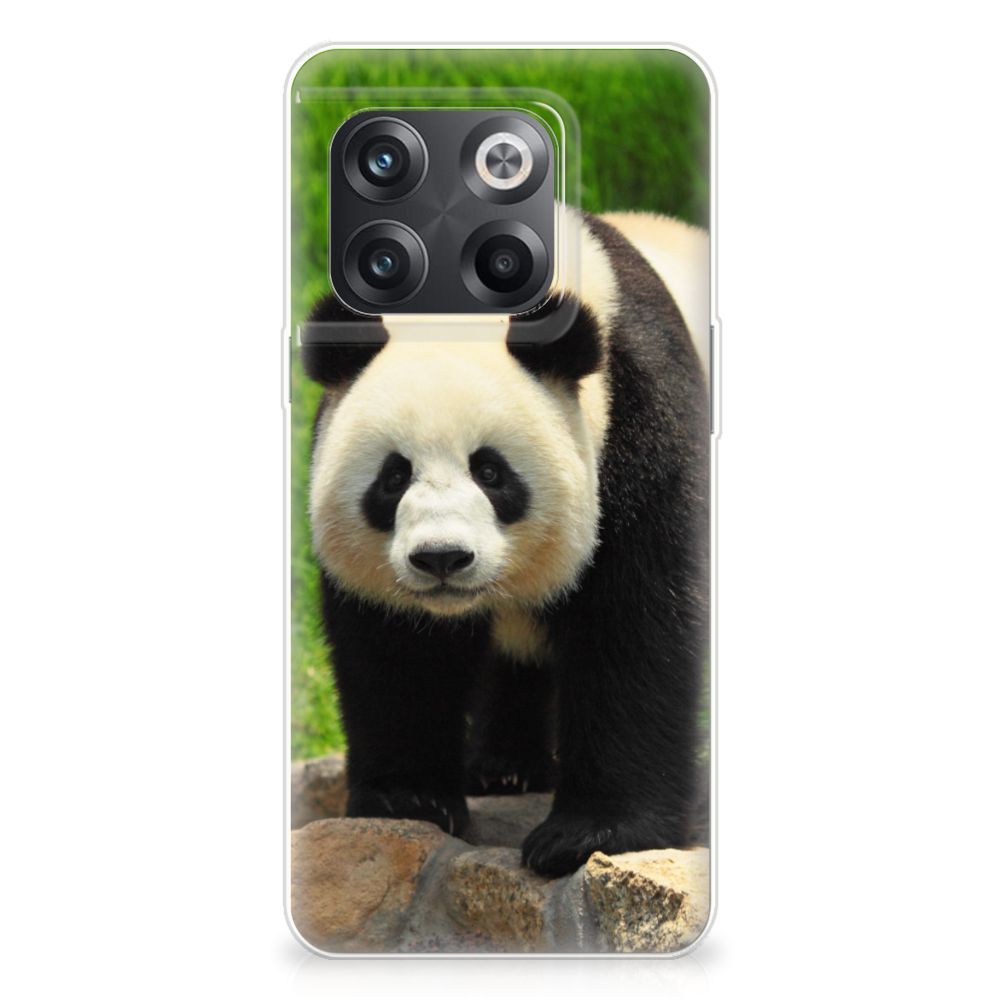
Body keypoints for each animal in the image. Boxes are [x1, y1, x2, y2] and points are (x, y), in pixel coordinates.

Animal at [303, 211, 710, 877]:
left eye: (491, 472)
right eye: (393, 477)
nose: (441, 558)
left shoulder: (641, 422)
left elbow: (637, 624)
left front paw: (589, 834)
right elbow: (397, 651)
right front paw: (408, 799)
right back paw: (503, 768)